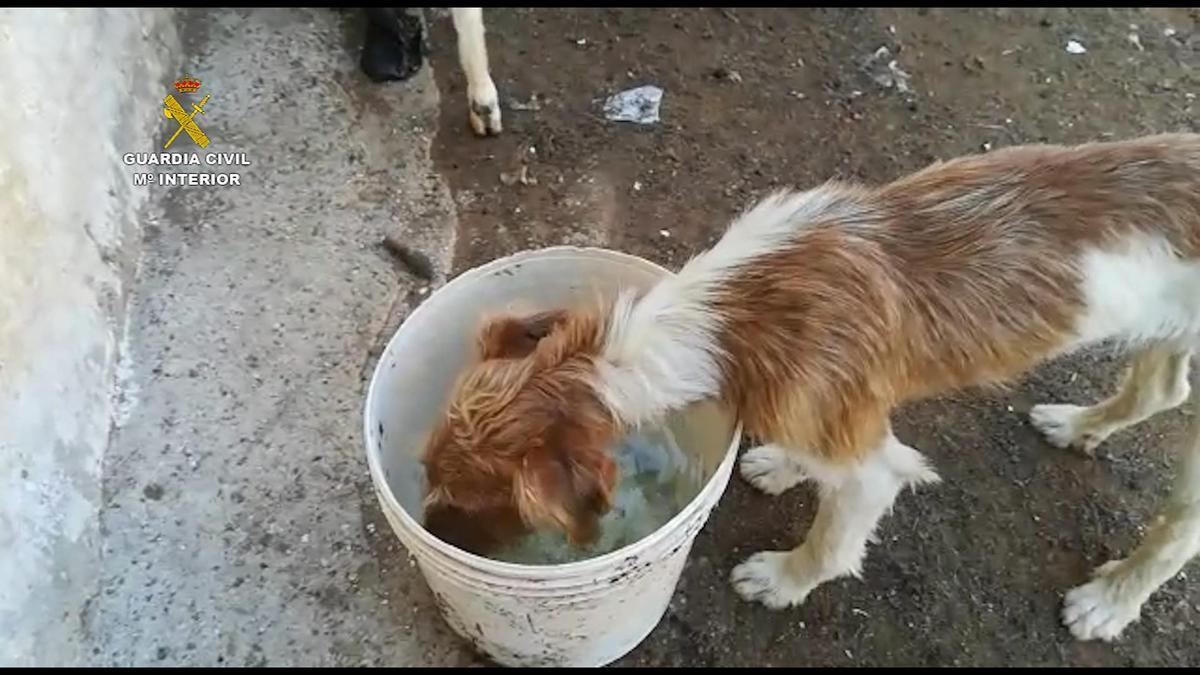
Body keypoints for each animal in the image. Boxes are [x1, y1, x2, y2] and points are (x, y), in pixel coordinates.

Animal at [420, 132, 1200, 638]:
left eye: (469, 498)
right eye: (425, 469)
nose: (426, 531)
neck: (728, 312)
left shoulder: (872, 467)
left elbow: (833, 540)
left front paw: (781, 579)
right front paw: (785, 465)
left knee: (1179, 527)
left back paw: (1111, 600)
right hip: (1164, 336)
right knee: (1160, 390)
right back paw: (1080, 425)